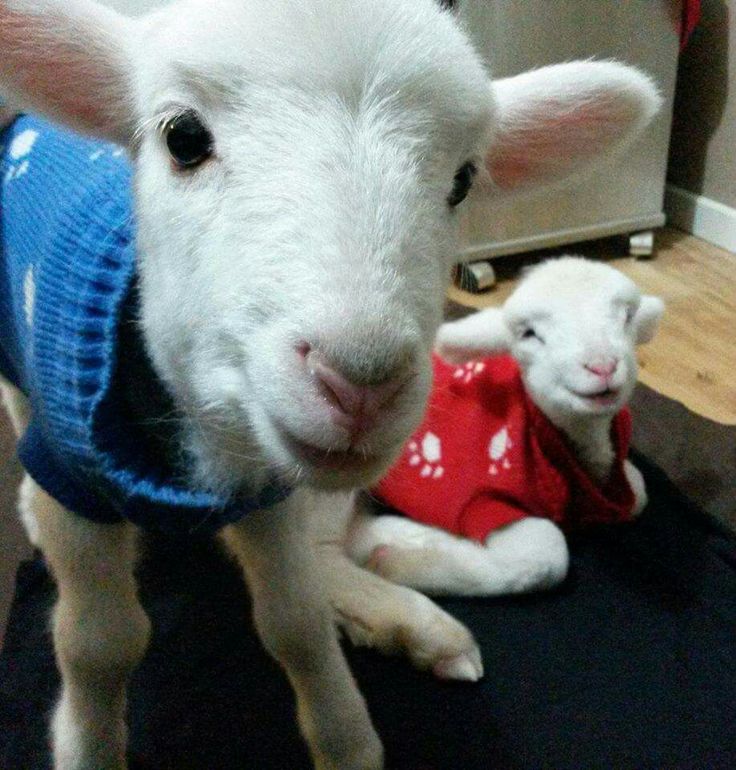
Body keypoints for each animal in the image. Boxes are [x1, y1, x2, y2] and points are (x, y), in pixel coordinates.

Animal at [348, 256, 664, 592]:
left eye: (627, 317)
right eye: (529, 334)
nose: (603, 366)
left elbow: (639, 489)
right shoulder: (481, 498)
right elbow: (547, 554)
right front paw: (406, 564)